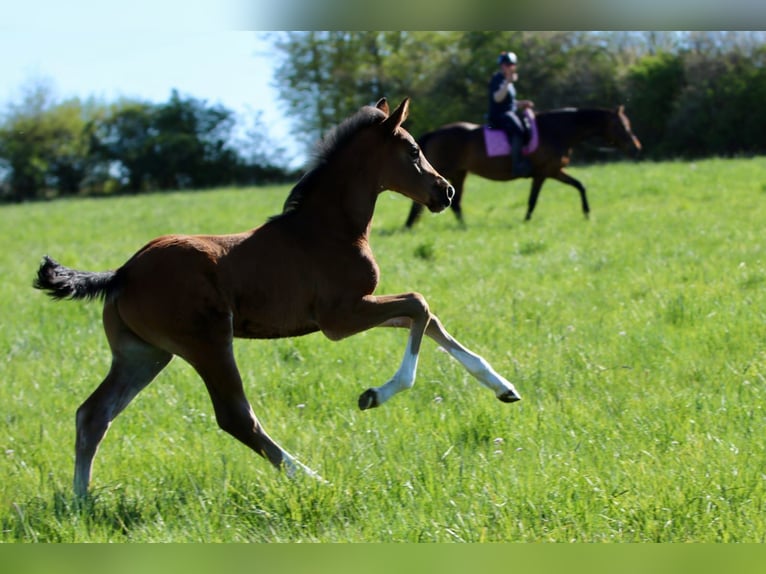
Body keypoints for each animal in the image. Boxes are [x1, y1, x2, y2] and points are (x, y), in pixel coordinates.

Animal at [33, 98, 522, 496]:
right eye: (414, 150)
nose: (446, 192)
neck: (329, 229)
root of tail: (122, 273)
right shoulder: (339, 319)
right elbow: (420, 304)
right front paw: (375, 395)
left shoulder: (359, 308)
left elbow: (428, 317)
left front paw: (504, 388)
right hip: (207, 343)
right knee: (235, 417)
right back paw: (313, 479)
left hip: (144, 354)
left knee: (93, 414)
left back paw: (81, 501)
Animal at [404, 106, 642, 227]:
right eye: (622, 126)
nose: (636, 147)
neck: (557, 131)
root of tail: (435, 132)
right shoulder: (545, 173)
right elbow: (533, 200)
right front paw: (526, 221)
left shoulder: (555, 171)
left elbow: (580, 185)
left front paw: (587, 213)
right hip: (443, 172)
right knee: (426, 203)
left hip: (459, 174)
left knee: (455, 203)